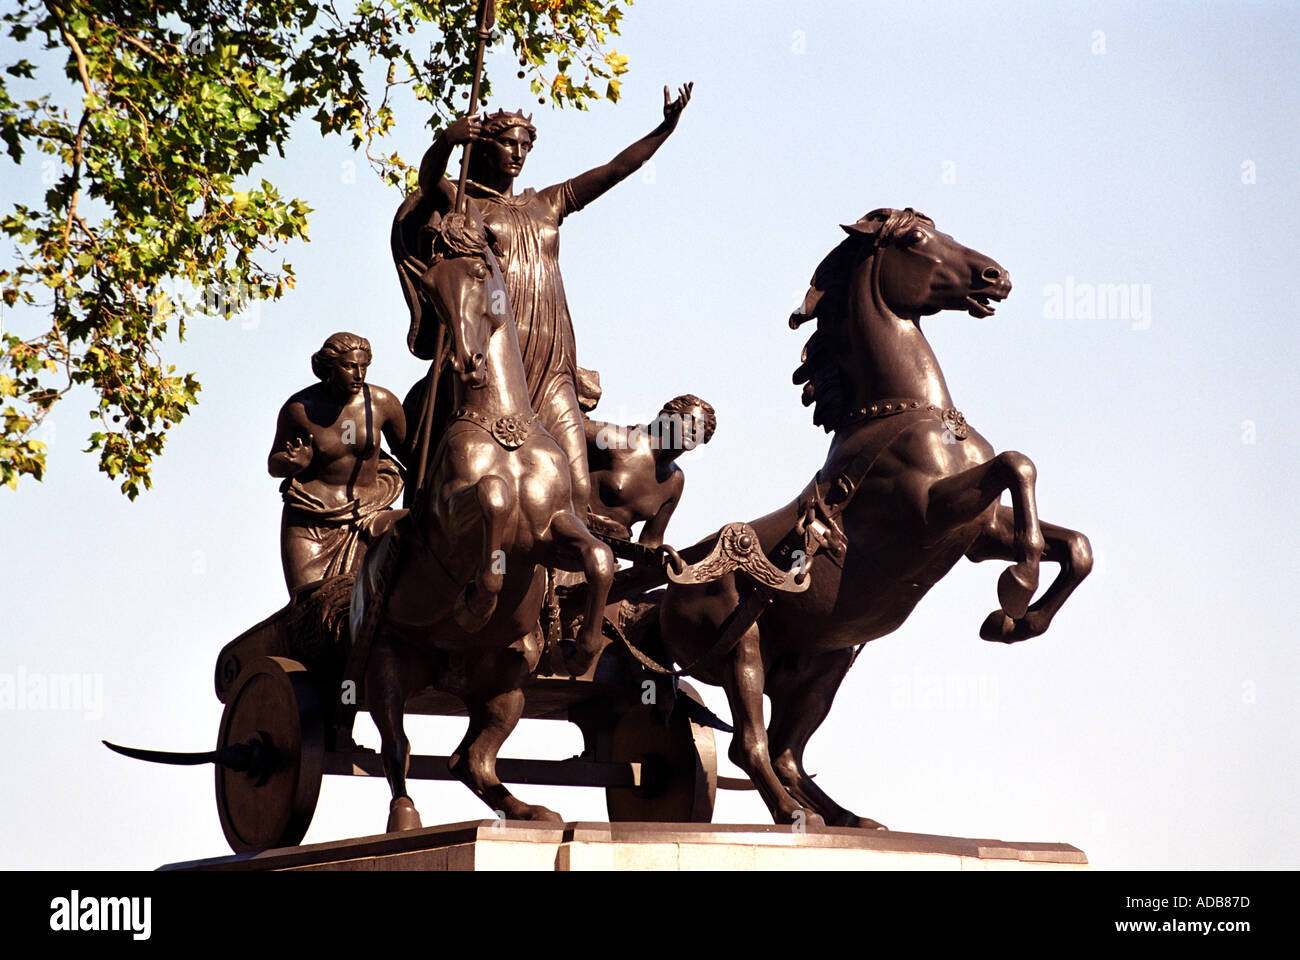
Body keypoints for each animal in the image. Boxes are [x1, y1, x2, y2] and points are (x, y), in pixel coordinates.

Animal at [655, 205, 1092, 827]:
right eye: (917, 238)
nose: (996, 276)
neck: (903, 413)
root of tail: (667, 593)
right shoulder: (930, 512)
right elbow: (1018, 463)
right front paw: (1016, 589)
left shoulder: (977, 532)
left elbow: (1075, 544)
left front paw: (1014, 623)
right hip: (744, 649)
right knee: (751, 745)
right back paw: (796, 816)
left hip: (824, 665)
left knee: (788, 752)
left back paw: (850, 819)